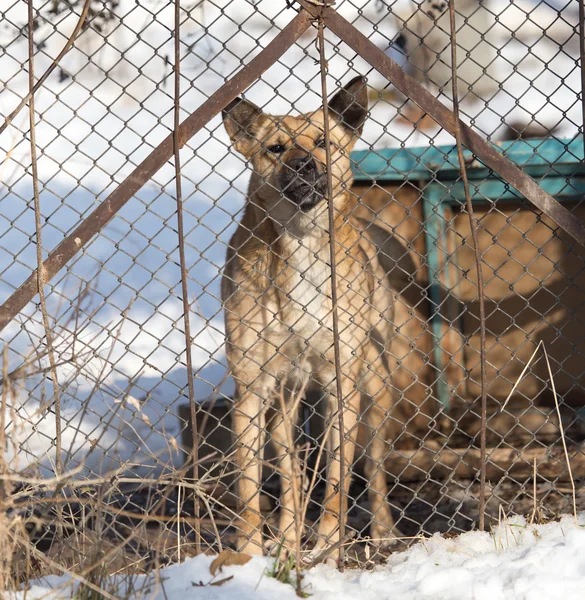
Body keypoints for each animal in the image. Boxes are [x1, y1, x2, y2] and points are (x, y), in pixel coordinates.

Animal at [222, 76, 410, 564]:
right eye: (276, 148)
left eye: (324, 142)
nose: (305, 165)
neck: (301, 243)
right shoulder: (252, 387)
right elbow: (250, 490)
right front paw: (250, 553)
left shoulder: (341, 382)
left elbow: (338, 481)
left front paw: (328, 543)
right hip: (282, 406)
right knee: (291, 476)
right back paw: (287, 540)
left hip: (375, 388)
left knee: (373, 468)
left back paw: (382, 530)